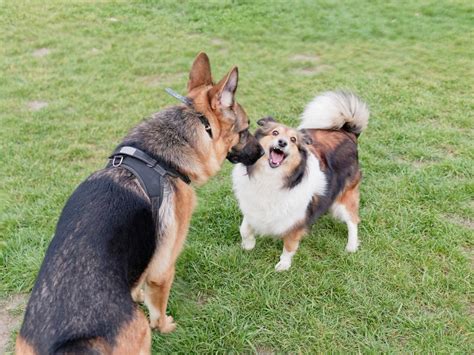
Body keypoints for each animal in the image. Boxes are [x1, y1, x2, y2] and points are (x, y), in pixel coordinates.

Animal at [15, 53, 262, 355]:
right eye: (246, 129)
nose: (262, 152)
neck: (159, 158)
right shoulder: (162, 268)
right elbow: (158, 304)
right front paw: (166, 325)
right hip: (141, 332)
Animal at [231, 92, 368, 272]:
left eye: (293, 139)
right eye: (275, 133)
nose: (282, 142)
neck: (271, 176)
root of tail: (348, 132)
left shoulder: (296, 217)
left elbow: (289, 244)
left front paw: (283, 265)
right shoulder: (253, 206)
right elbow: (244, 228)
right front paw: (248, 245)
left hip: (346, 194)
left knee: (353, 220)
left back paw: (351, 246)